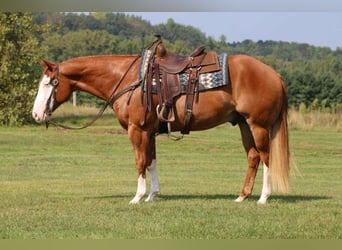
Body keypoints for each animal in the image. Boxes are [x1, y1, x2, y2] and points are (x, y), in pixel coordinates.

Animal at [32, 51, 290, 204]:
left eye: (50, 83)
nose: (36, 114)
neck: (129, 80)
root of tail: (275, 74)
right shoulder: (150, 132)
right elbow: (152, 161)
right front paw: (152, 196)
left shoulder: (137, 130)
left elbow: (140, 162)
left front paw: (137, 197)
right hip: (244, 124)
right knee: (253, 157)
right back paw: (242, 196)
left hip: (258, 125)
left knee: (266, 157)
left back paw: (263, 197)